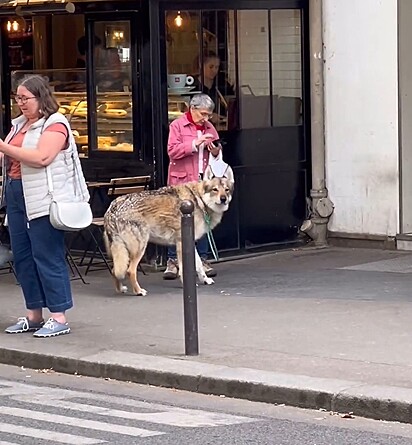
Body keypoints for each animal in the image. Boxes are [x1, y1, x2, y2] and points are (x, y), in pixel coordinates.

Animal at [103, 164, 233, 294]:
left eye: (226, 190)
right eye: (215, 189)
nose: (223, 199)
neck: (199, 199)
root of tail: (111, 210)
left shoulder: (190, 242)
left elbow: (199, 265)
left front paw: (205, 280)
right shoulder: (181, 242)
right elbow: (184, 269)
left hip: (123, 251)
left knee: (115, 270)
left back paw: (120, 289)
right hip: (139, 249)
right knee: (130, 270)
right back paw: (139, 291)